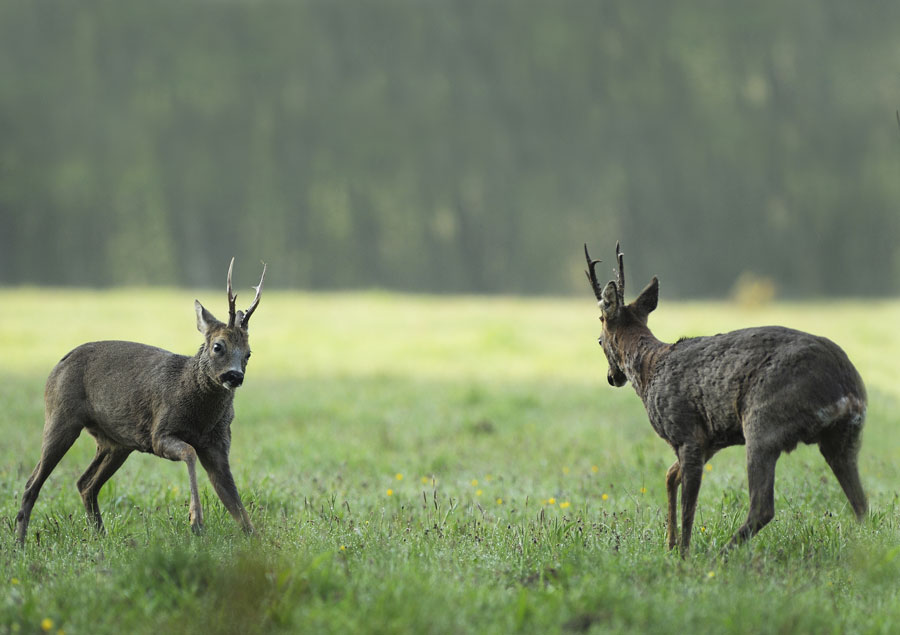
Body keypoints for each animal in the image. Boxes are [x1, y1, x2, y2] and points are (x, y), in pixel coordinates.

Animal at [15, 258, 266, 548]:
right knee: (32, 483)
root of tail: (58, 364)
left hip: (116, 442)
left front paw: (257, 540)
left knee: (85, 483)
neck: (200, 416)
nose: (235, 376)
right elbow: (189, 452)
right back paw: (20, 543)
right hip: (60, 416)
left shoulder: (218, 445)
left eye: (248, 353)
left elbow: (236, 505)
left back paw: (101, 537)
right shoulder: (159, 433)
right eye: (218, 346)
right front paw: (196, 521)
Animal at [584, 243, 864, 556]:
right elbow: (670, 475)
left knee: (762, 507)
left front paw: (683, 555)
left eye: (598, 340)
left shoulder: (687, 432)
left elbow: (688, 507)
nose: (612, 377)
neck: (649, 370)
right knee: (861, 504)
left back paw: (720, 556)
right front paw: (669, 545)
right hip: (844, 436)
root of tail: (845, 386)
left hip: (764, 423)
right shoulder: (709, 441)